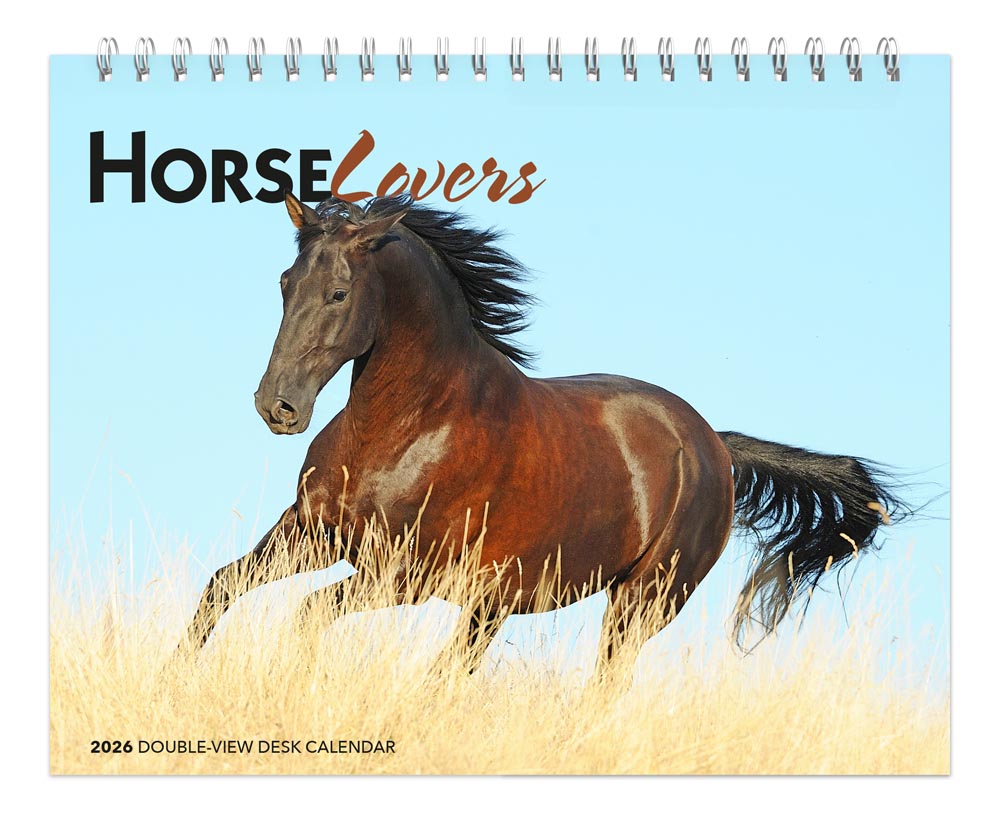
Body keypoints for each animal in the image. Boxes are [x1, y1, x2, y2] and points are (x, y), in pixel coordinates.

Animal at [181, 190, 906, 675]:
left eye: (338, 293)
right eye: (285, 283)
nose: (277, 406)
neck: (408, 429)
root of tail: (714, 447)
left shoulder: (402, 572)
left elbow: (304, 617)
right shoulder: (311, 532)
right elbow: (221, 587)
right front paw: (176, 677)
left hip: (640, 602)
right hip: (492, 605)